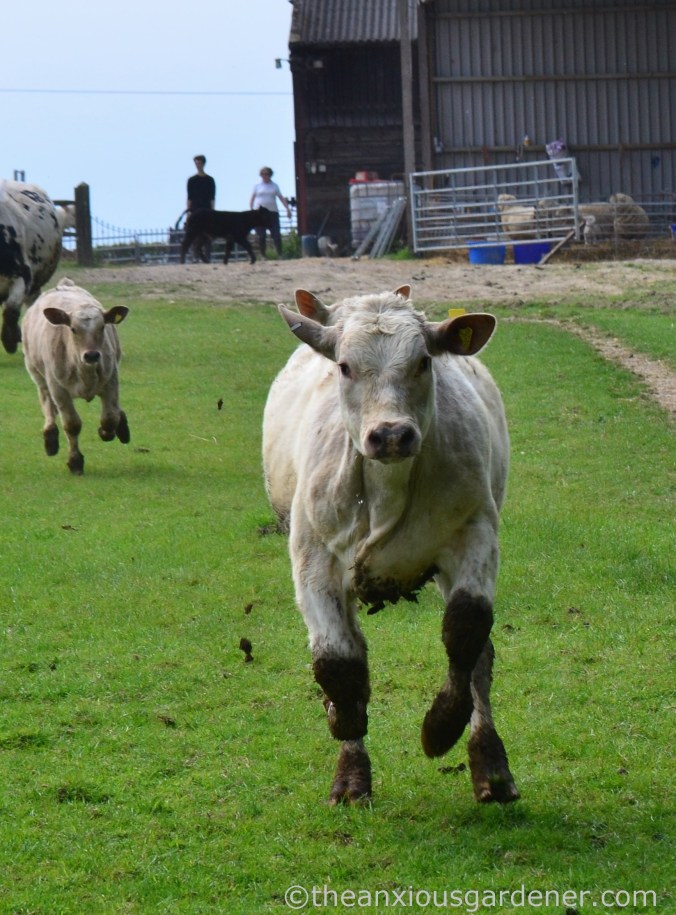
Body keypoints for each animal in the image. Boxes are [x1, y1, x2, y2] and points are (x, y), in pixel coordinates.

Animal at [22, 278, 130, 475]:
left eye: (102, 326)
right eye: (73, 329)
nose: (92, 355)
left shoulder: (111, 379)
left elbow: (110, 417)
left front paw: (106, 432)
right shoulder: (58, 388)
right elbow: (72, 424)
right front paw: (75, 462)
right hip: (37, 373)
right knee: (47, 403)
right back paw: (50, 438)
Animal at [262, 286, 518, 807]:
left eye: (423, 361)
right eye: (344, 366)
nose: (391, 435)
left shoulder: (475, 532)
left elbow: (466, 631)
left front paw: (441, 728)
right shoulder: (313, 558)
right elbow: (339, 662)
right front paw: (347, 747)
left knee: (479, 657)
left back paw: (491, 767)